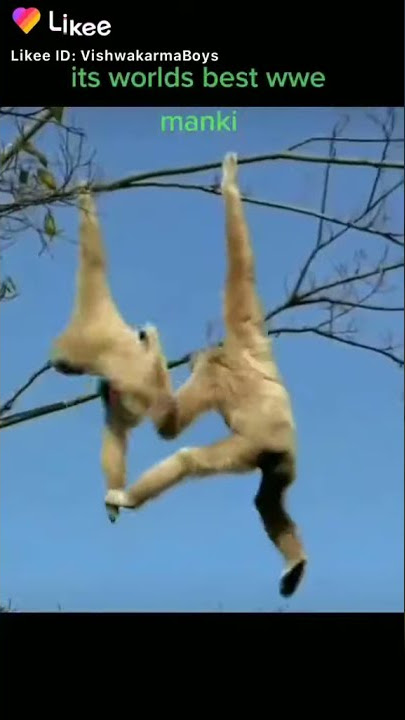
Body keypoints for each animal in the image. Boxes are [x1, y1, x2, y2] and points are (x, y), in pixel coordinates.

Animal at [104, 152, 308, 598]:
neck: (228, 356)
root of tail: (280, 445)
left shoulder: (229, 349)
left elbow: (170, 429)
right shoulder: (255, 337)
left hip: (246, 449)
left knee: (190, 458)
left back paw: (126, 498)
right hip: (282, 462)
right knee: (268, 499)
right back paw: (296, 566)